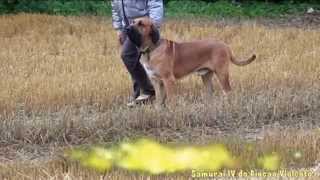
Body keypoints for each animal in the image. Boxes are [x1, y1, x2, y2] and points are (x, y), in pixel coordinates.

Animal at [124, 16, 255, 105]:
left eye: (141, 24)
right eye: (133, 22)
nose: (126, 28)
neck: (151, 49)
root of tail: (225, 46)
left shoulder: (168, 80)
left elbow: (171, 100)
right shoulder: (156, 81)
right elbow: (159, 101)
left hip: (222, 74)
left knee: (228, 92)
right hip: (206, 76)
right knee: (211, 93)